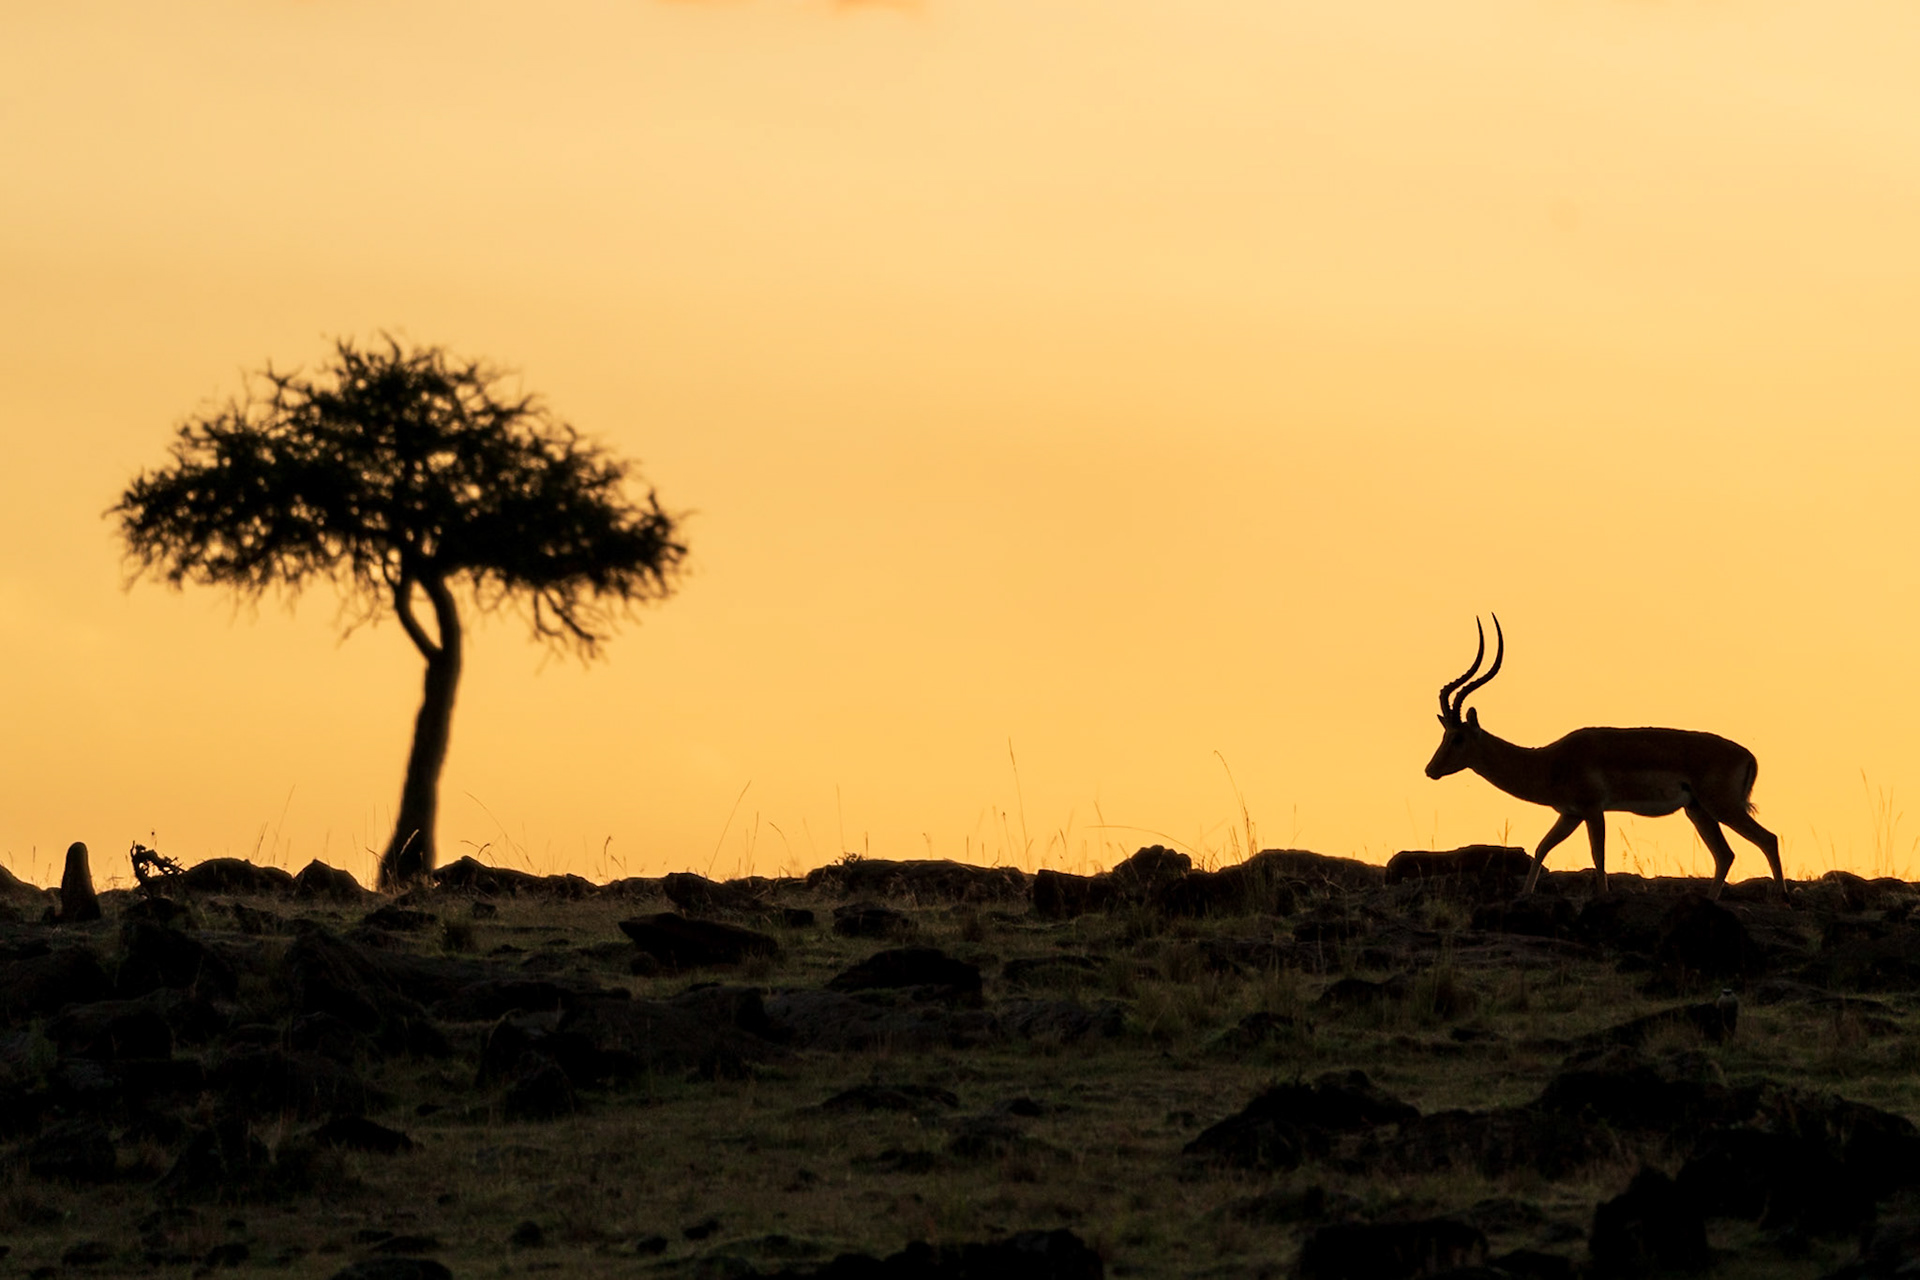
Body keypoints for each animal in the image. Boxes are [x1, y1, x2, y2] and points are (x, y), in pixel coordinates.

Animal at [1425, 616, 1785, 900]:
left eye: (1457, 737)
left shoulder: (1593, 809)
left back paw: (1781, 898)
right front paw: (1524, 895)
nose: (1431, 770)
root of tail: (1748, 755)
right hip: (1698, 810)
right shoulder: (1570, 814)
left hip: (1722, 807)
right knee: (1725, 855)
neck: (1550, 762)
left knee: (1768, 838)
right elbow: (1542, 847)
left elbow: (1597, 854)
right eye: (1444, 734)